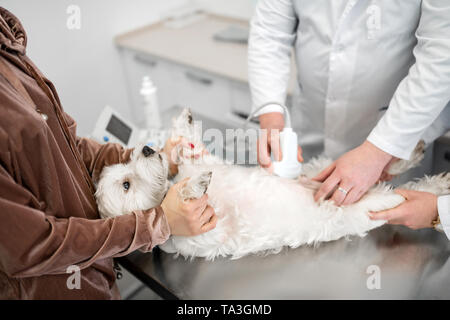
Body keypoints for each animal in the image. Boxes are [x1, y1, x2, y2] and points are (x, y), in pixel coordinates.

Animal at [96, 109, 450, 260]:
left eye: (129, 163)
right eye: (126, 184)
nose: (146, 149)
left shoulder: (210, 164)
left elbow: (192, 155)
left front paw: (183, 132)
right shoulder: (202, 234)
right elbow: (188, 191)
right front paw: (189, 187)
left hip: (324, 172)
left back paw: (411, 157)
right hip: (365, 206)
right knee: (396, 193)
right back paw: (431, 191)